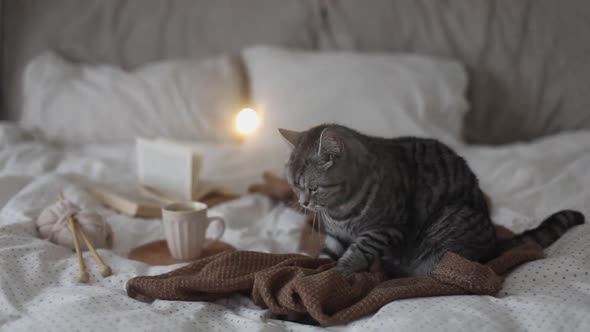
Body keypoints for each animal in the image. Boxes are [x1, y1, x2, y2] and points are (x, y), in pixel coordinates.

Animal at [280, 123, 584, 276]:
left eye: (313, 188)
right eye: (294, 186)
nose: (303, 203)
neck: (339, 210)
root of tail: (494, 241)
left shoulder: (385, 229)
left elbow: (358, 250)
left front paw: (341, 271)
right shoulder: (335, 235)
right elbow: (327, 252)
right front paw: (321, 268)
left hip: (449, 225)